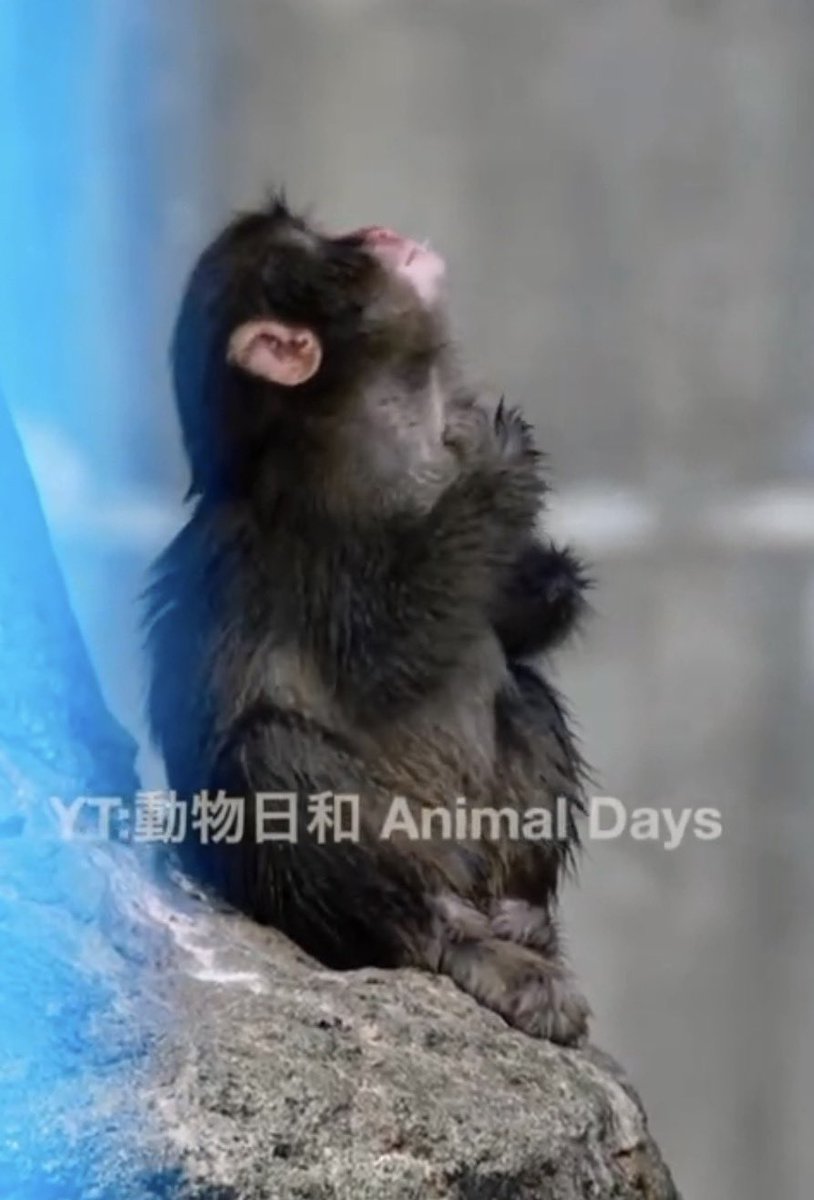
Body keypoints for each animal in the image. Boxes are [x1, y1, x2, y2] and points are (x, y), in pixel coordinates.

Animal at [144, 195, 591, 1044]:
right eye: (340, 256)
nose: (380, 232)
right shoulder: (314, 536)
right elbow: (384, 651)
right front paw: (495, 465)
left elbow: (513, 631)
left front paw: (550, 572)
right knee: (270, 755)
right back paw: (450, 939)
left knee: (527, 692)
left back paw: (520, 914)